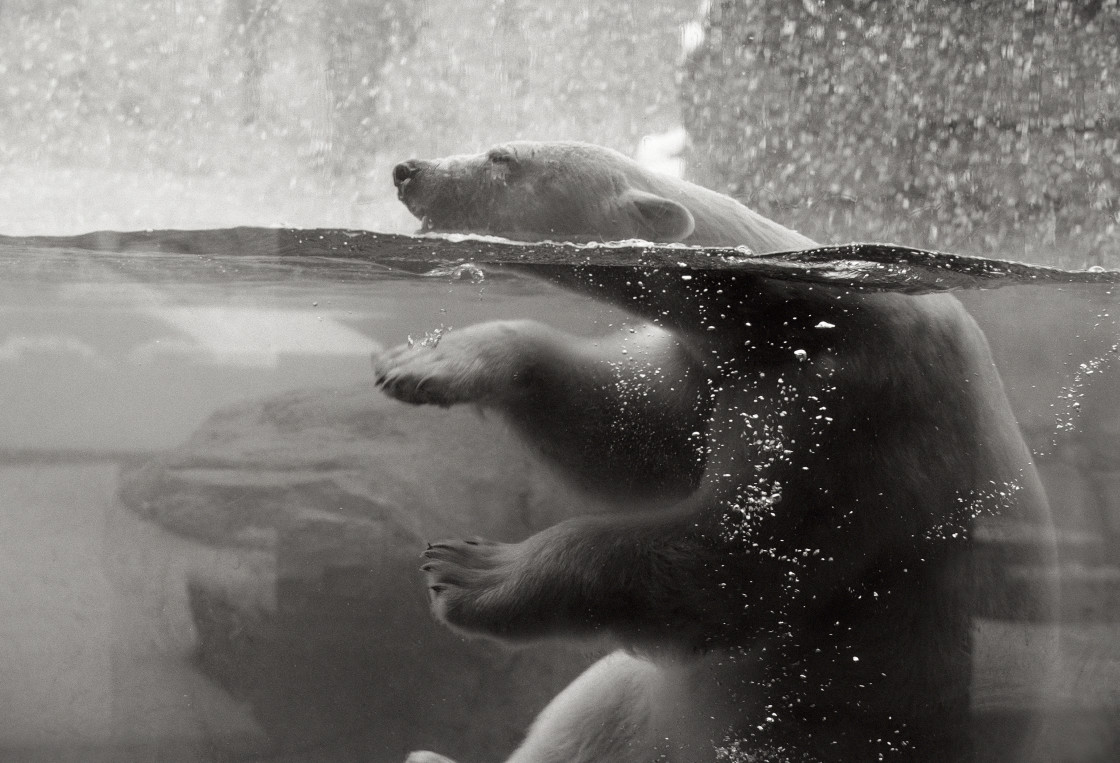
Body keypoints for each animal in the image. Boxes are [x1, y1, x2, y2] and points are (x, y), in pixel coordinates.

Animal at [374, 141, 1048, 757]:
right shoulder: (724, 372)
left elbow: (736, 558)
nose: (406, 170)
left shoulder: (852, 407)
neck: (798, 307)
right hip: (651, 707)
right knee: (588, 718)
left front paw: (467, 570)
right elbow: (636, 435)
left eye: (501, 157)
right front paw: (426, 362)